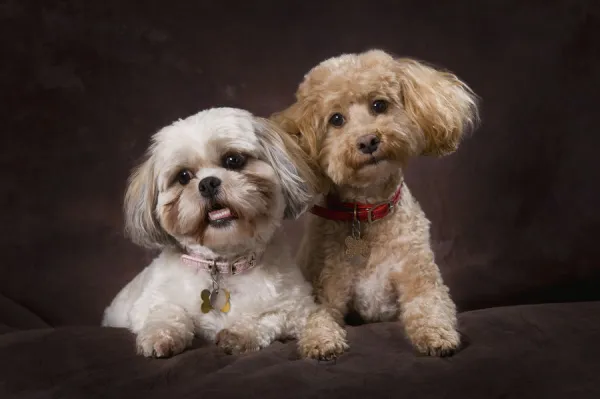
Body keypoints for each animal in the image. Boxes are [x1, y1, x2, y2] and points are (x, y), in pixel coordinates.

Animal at [102, 108, 346, 360]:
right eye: (183, 176)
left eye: (233, 160)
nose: (208, 183)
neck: (224, 266)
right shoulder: (148, 304)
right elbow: (167, 312)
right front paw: (159, 337)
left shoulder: (297, 307)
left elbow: (272, 318)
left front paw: (239, 335)